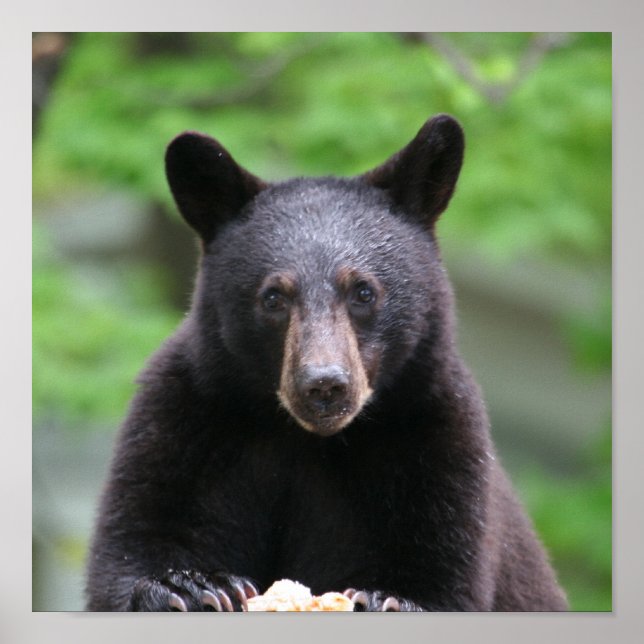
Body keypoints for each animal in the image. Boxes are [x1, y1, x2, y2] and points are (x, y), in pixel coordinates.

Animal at [84, 114, 568, 612]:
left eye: (363, 291)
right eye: (273, 297)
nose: (324, 384)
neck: (306, 440)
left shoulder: (435, 438)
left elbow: (443, 574)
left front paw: (387, 599)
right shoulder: (187, 420)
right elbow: (140, 535)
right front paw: (191, 585)